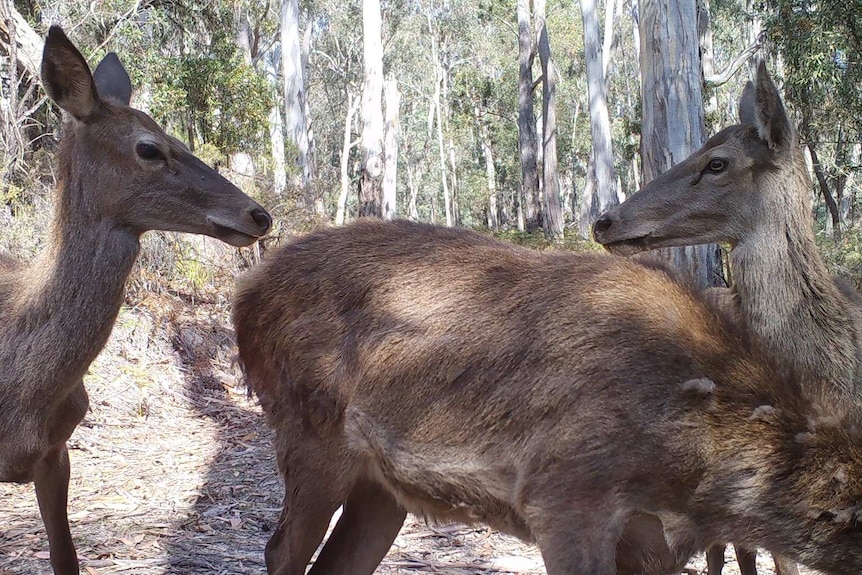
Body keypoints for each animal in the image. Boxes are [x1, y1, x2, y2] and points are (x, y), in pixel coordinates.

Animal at [236, 219, 862, 575]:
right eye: (846, 516)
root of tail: (246, 292)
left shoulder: (650, 544)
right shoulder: (563, 495)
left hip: (383, 487)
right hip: (309, 438)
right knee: (279, 551)